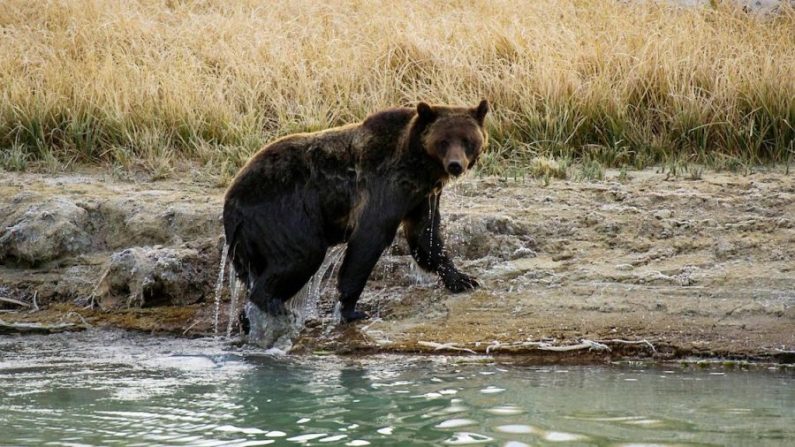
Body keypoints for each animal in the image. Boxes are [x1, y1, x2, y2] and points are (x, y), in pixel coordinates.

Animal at [221, 99, 488, 322]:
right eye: (443, 141)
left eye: (467, 140)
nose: (455, 165)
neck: (418, 168)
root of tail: (230, 201)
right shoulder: (383, 186)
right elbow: (369, 238)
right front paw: (351, 309)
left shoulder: (421, 197)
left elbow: (426, 237)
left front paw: (463, 279)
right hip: (281, 212)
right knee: (302, 253)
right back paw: (275, 307)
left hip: (251, 241)